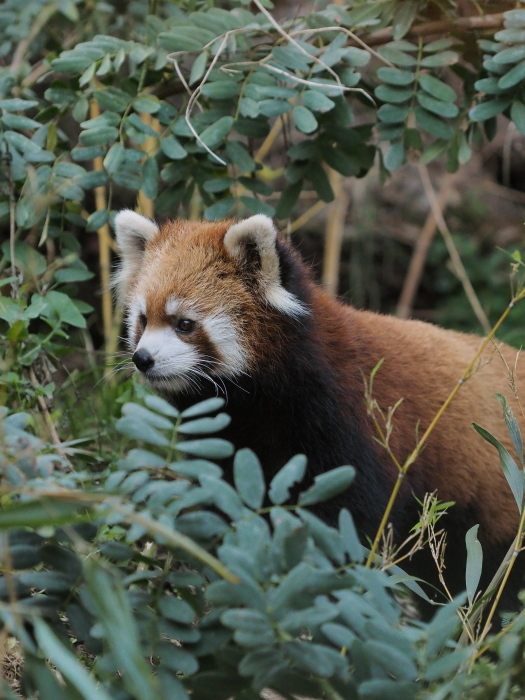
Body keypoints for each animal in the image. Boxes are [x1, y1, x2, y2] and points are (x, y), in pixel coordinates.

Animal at [114, 209, 524, 612]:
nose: (143, 359)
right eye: (143, 320)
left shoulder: (349, 424)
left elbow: (348, 519)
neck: (260, 402)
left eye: (184, 324)